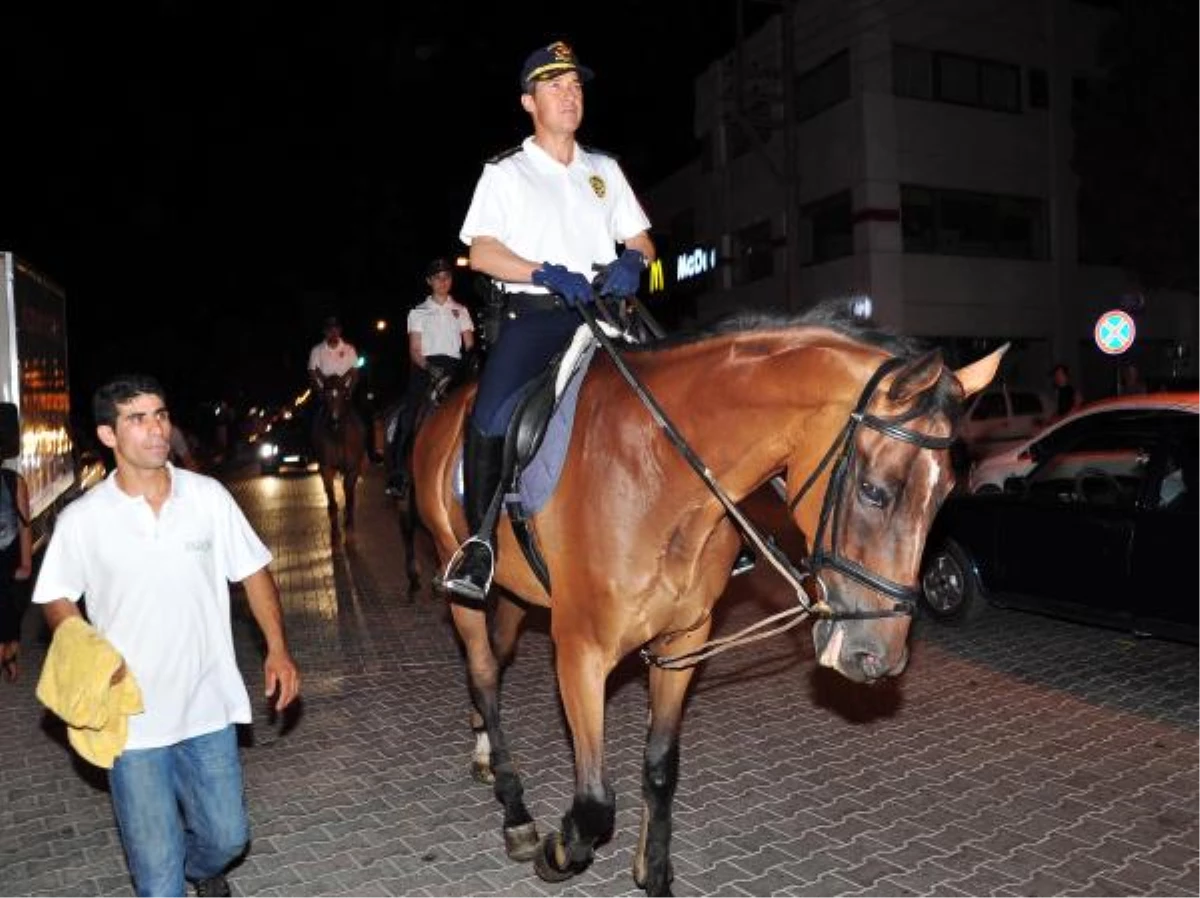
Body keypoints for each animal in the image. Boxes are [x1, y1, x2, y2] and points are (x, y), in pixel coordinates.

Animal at [309, 372, 364, 533]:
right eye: (325, 395)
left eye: (345, 395)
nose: (335, 420)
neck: (338, 438)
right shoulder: (326, 467)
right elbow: (330, 491)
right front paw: (335, 527)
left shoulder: (352, 468)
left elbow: (349, 491)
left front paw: (349, 520)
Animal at [412, 303, 1003, 897]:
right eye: (873, 491)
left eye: (945, 495)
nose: (875, 656)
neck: (656, 474)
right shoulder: (581, 650)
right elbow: (596, 802)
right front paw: (560, 850)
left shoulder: (684, 640)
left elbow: (660, 768)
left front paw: (652, 872)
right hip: (457, 572)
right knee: (484, 675)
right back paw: (515, 812)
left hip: (516, 593)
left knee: (497, 656)